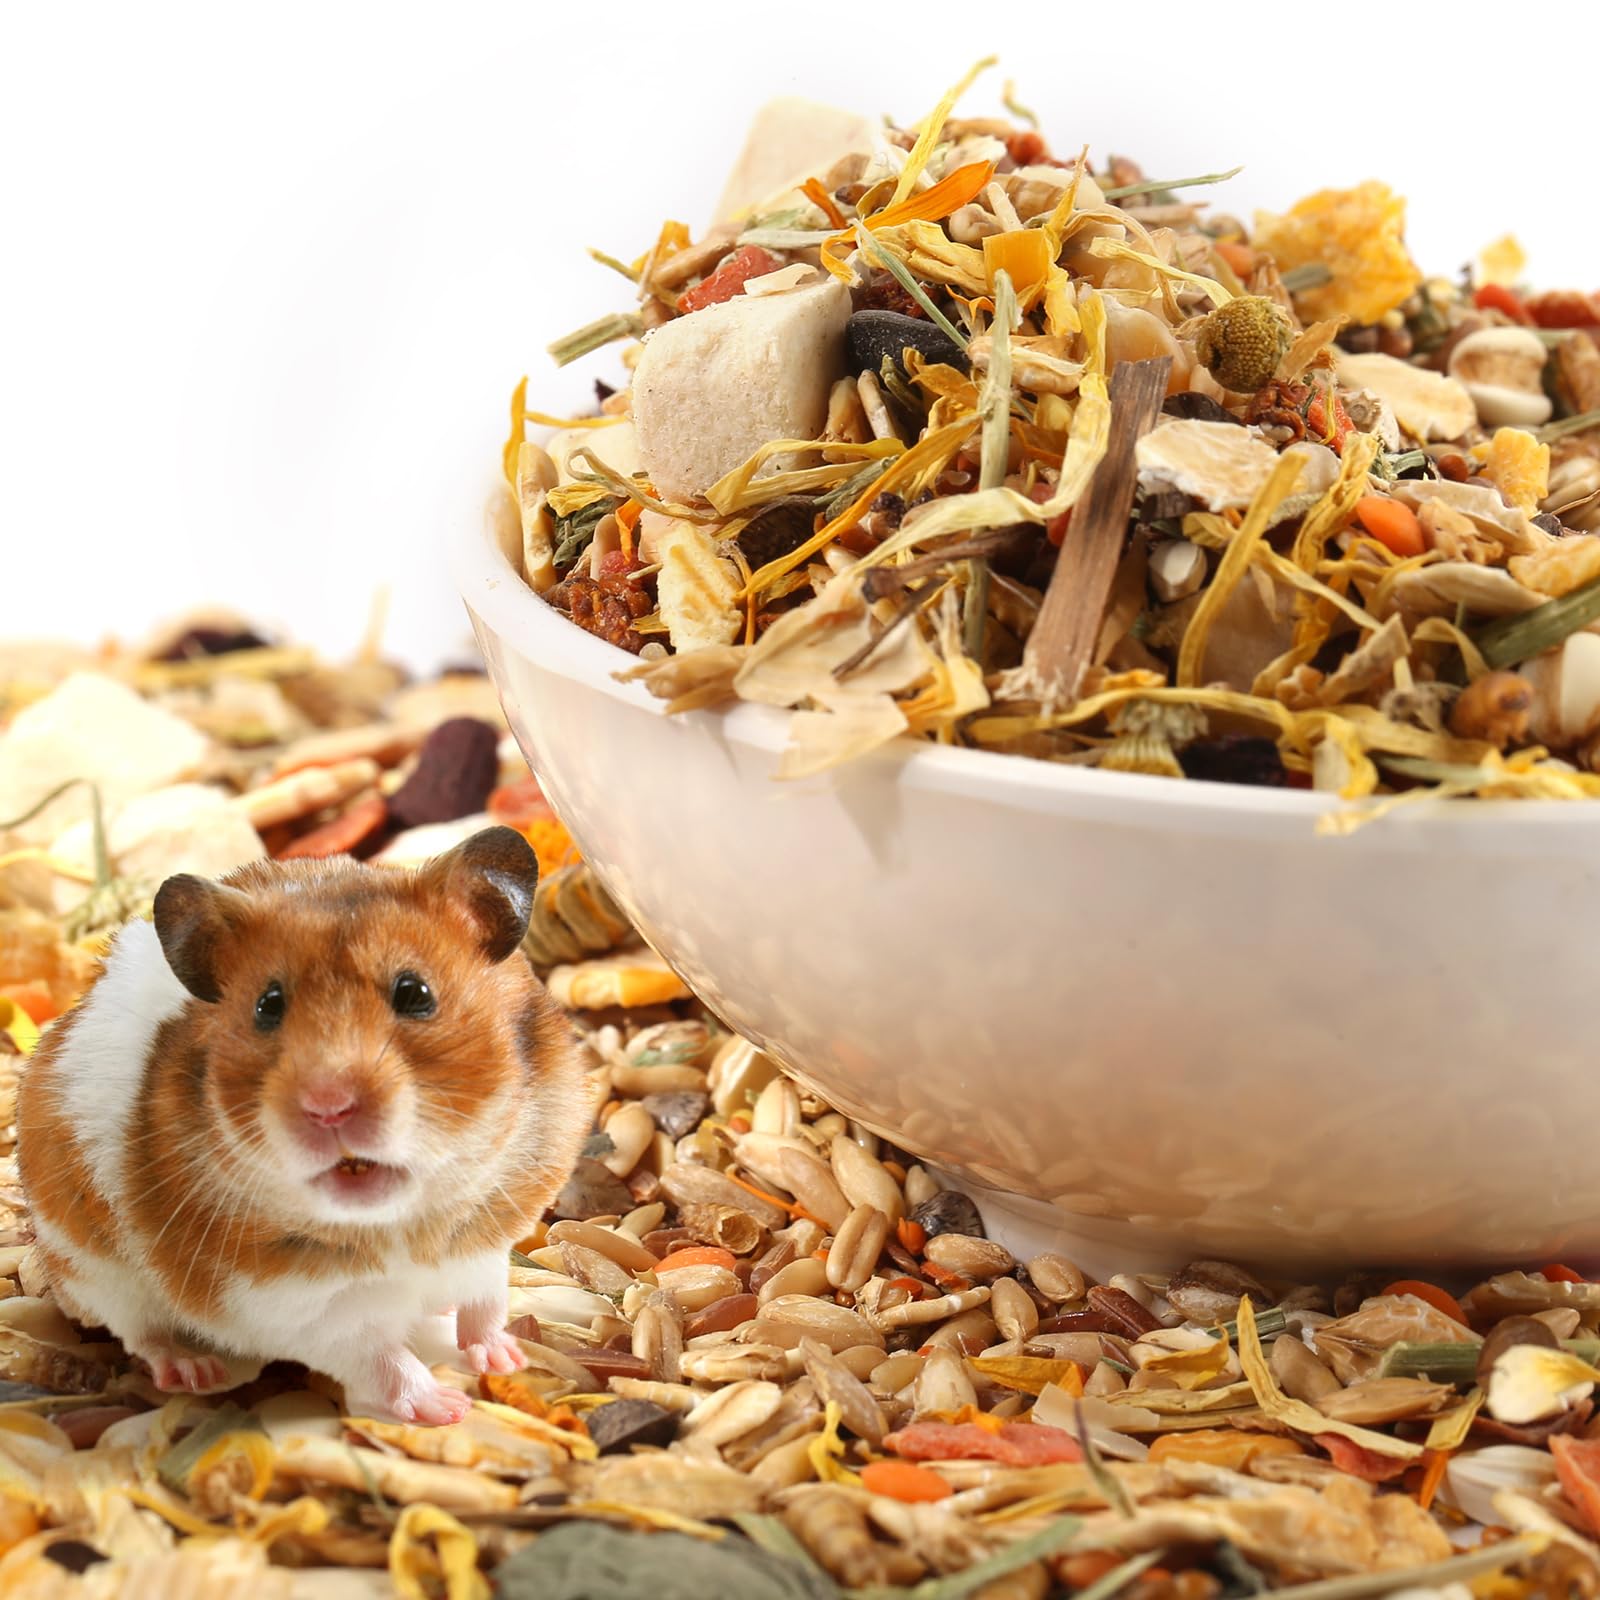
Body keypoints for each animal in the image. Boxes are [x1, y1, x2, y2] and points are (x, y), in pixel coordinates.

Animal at [17, 825, 589, 1425]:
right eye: (267, 1006)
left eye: (415, 993)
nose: (328, 1106)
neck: (400, 1224)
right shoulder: (301, 1309)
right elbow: (382, 1359)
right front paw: (448, 1409)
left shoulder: (483, 1247)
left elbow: (486, 1305)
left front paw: (507, 1358)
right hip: (94, 1268)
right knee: (142, 1333)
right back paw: (194, 1371)